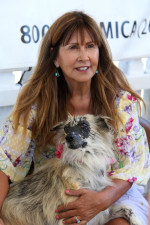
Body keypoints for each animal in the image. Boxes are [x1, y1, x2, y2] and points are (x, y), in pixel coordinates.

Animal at [0, 115, 141, 224]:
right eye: (66, 128)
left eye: (84, 125)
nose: (68, 138)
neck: (85, 165)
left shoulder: (98, 213)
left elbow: (127, 209)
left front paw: (136, 221)